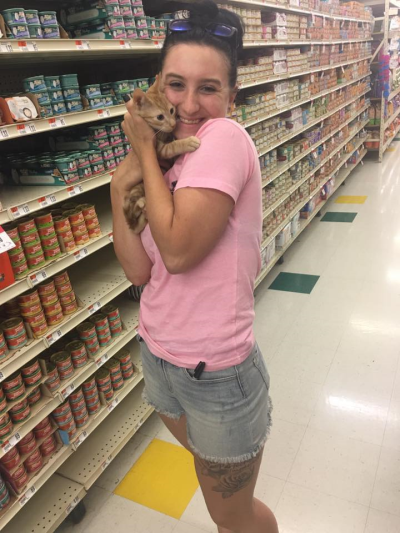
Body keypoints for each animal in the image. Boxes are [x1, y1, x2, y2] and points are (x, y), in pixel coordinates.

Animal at [123, 76, 201, 234]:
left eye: (171, 110)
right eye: (159, 117)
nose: (173, 124)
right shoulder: (159, 149)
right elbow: (173, 146)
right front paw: (187, 142)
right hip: (138, 188)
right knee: (133, 215)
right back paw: (142, 205)